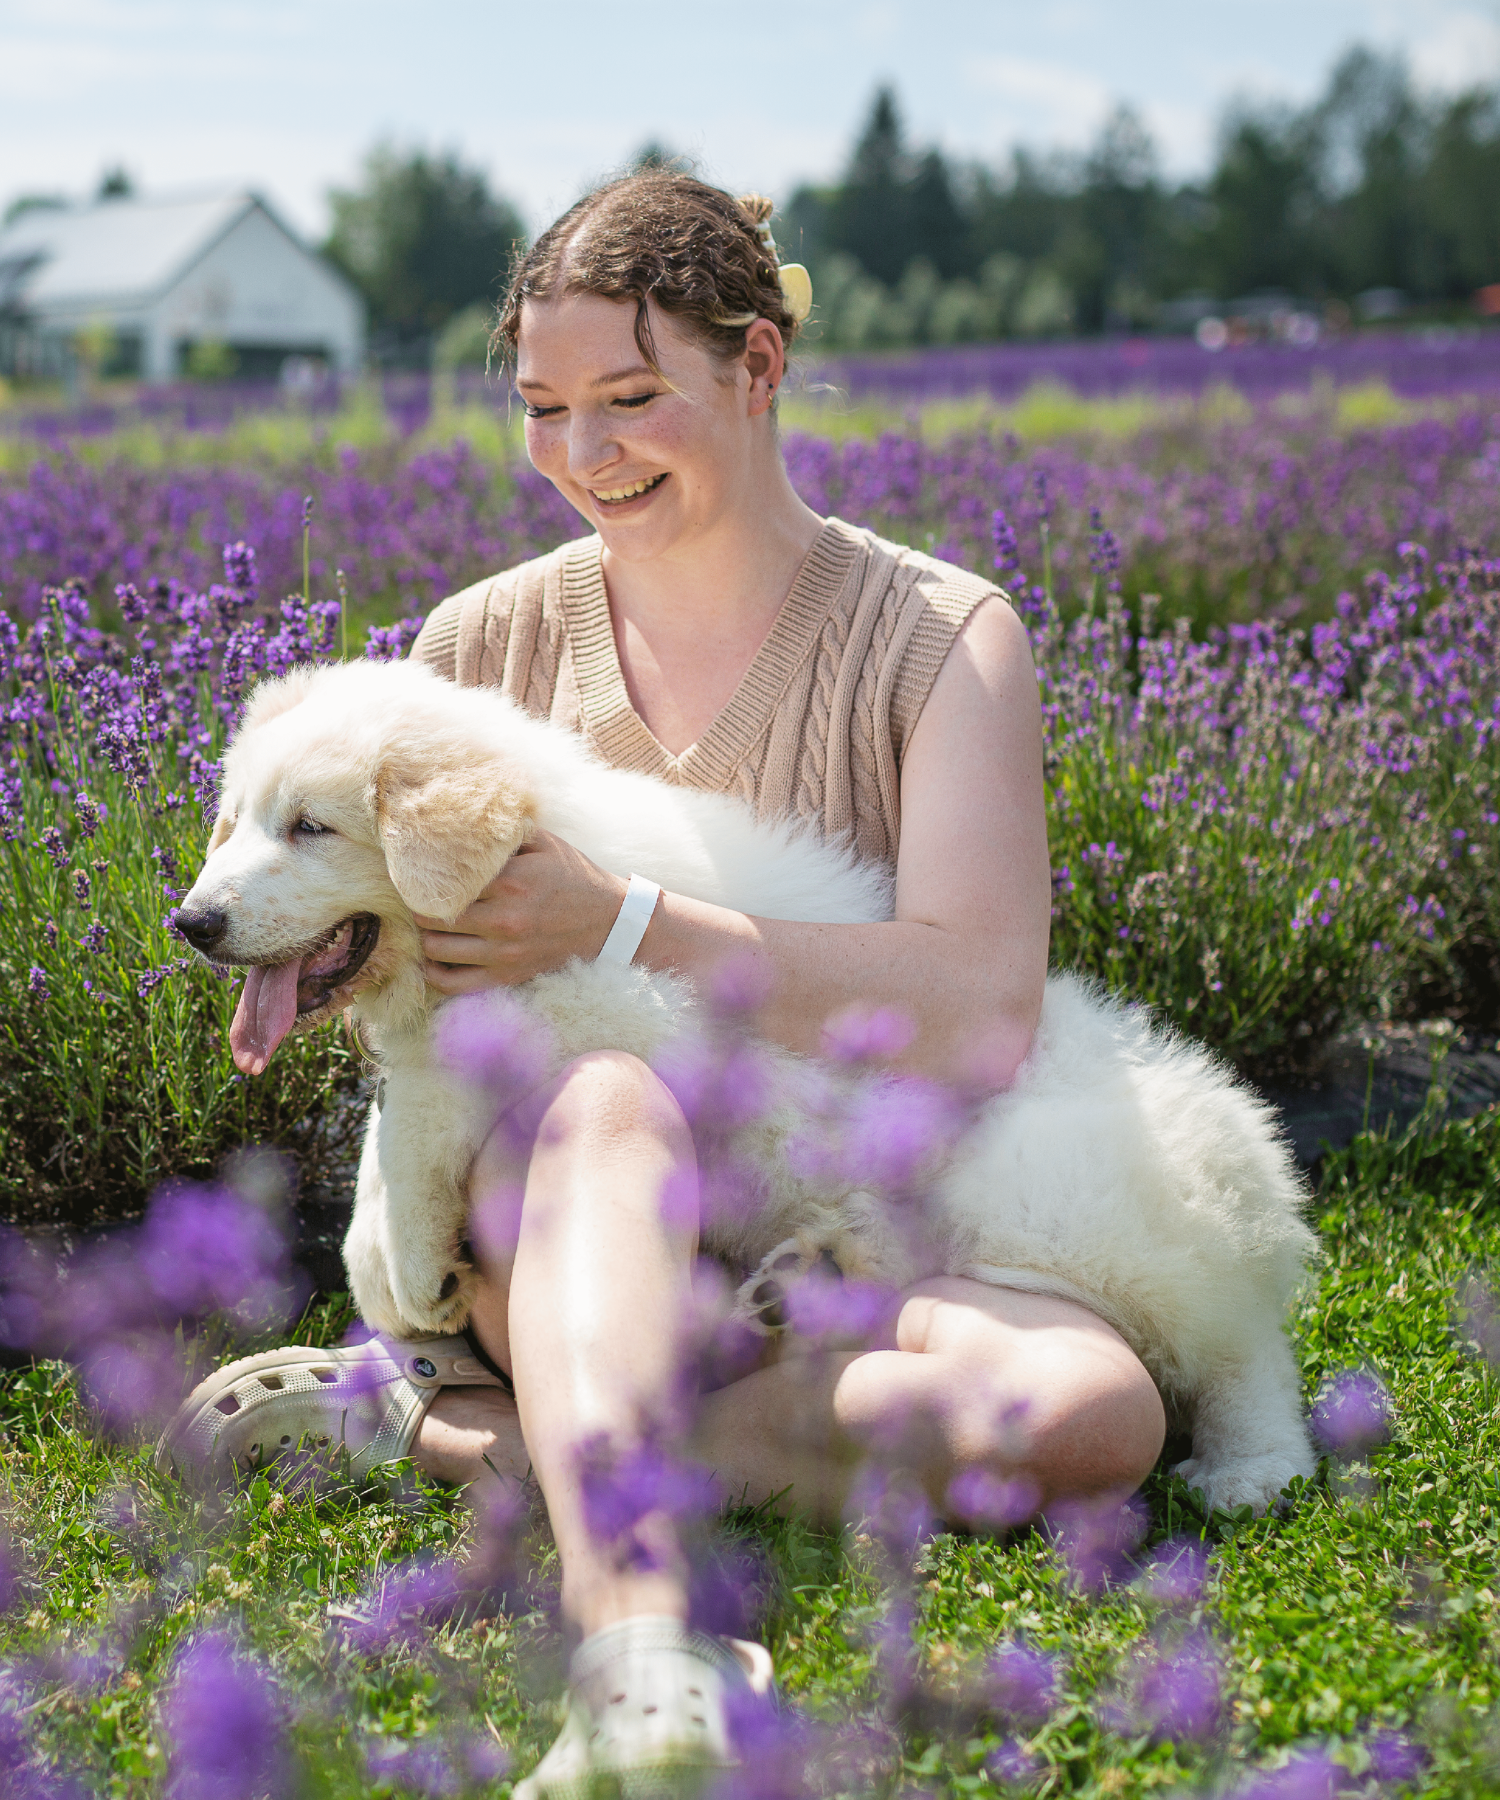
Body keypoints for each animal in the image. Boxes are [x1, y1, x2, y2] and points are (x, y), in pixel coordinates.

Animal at [181, 655, 1318, 1512]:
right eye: (236, 820)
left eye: (312, 827)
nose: (191, 922)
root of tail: (1253, 1178)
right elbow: (392, 1112)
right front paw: (384, 1266)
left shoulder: (601, 1000)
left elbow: (421, 1100)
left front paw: (404, 1267)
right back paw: (811, 1276)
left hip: (1058, 1205)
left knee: (1237, 1351)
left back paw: (1252, 1467)